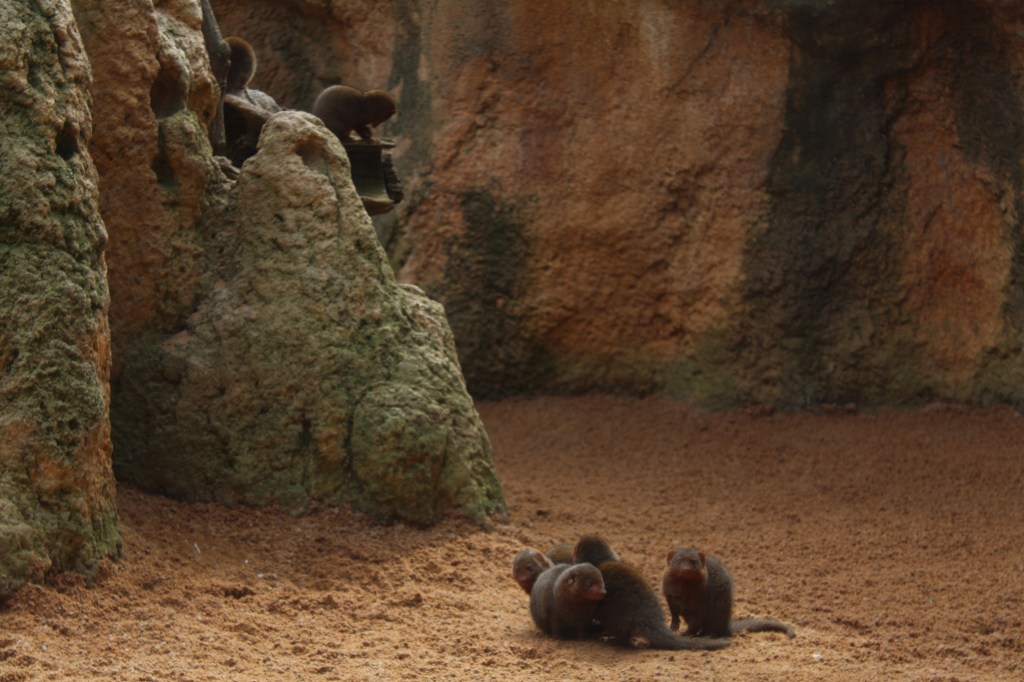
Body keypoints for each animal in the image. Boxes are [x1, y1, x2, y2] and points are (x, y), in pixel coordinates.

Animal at [662, 548, 796, 639]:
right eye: (679, 560)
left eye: (693, 561)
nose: (687, 569)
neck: (684, 591)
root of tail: (726, 624)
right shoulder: (669, 595)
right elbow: (674, 612)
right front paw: (674, 627)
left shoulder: (702, 601)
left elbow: (695, 622)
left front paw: (685, 634)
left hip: (716, 612)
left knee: (710, 628)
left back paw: (707, 635)